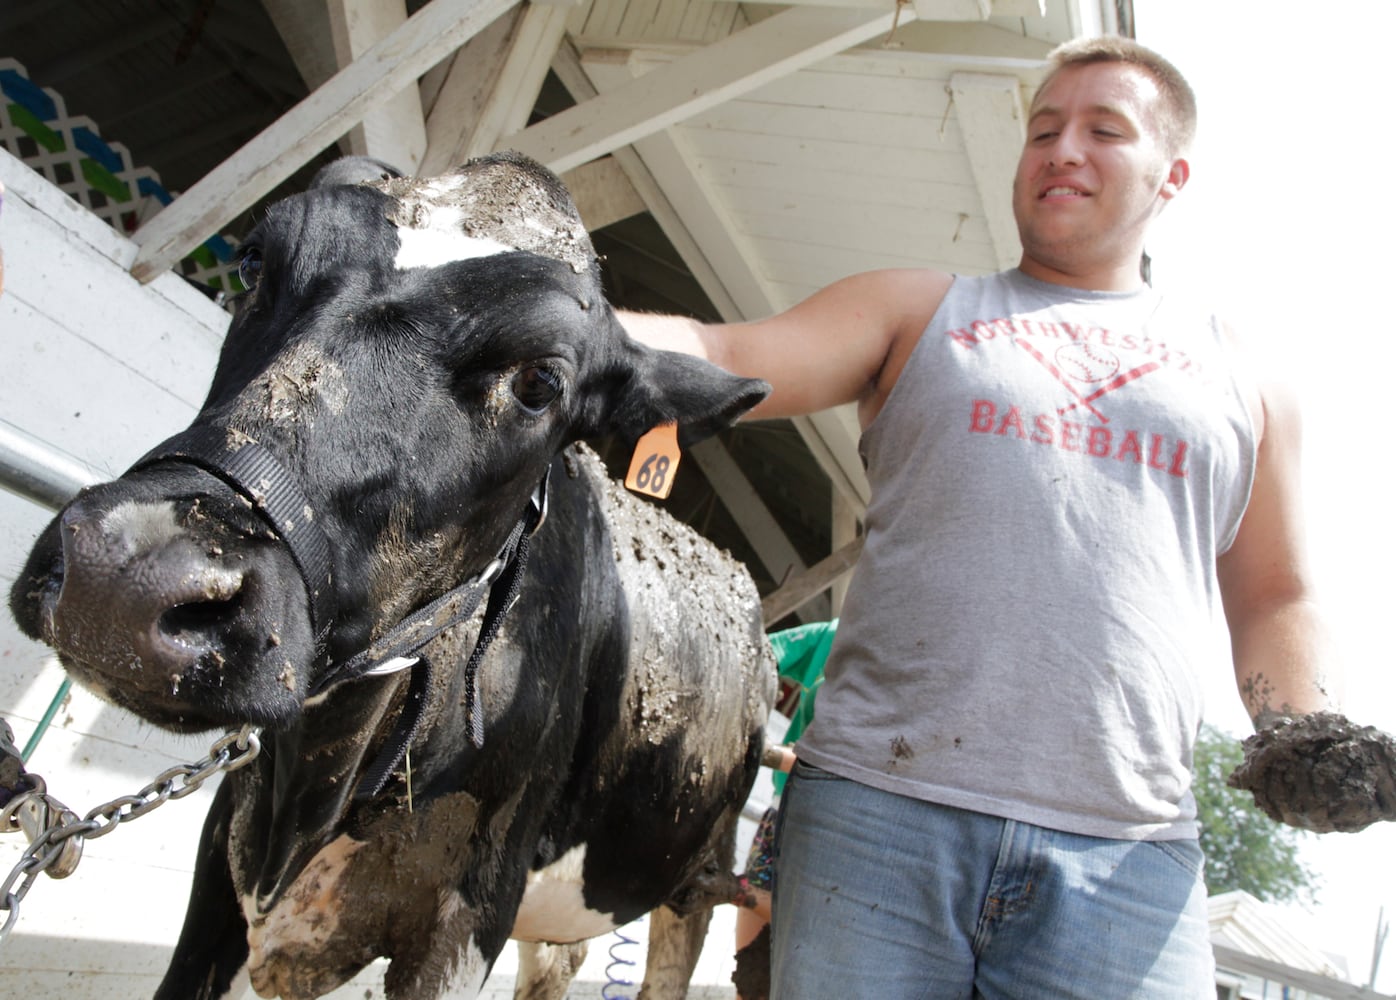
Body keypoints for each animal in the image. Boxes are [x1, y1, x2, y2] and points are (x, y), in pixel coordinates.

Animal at [5, 150, 781, 1000]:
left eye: (540, 383)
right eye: (254, 260)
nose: (127, 572)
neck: (315, 794)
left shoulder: (470, 909)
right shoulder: (223, 861)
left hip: (697, 875)